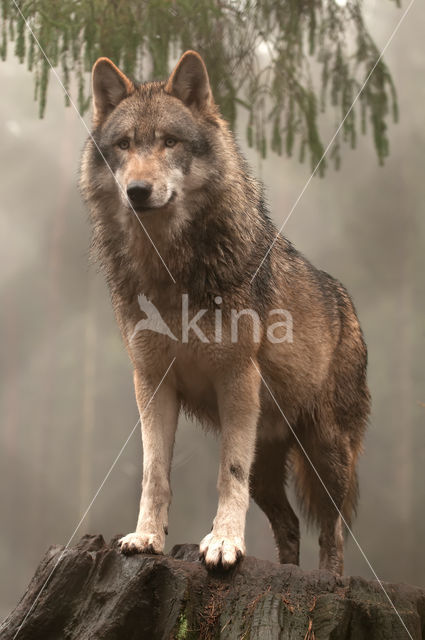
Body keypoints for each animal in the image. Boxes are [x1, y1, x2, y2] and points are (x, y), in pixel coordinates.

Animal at [80, 50, 372, 576]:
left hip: (326, 453)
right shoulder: (151, 382)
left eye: (170, 142)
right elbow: (154, 472)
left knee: (334, 531)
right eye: (125, 144)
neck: (170, 274)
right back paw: (286, 571)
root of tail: (346, 301)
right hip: (269, 462)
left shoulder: (237, 378)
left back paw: (328, 579)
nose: (137, 190)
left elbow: (225, 473)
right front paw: (146, 537)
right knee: (289, 525)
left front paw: (223, 544)